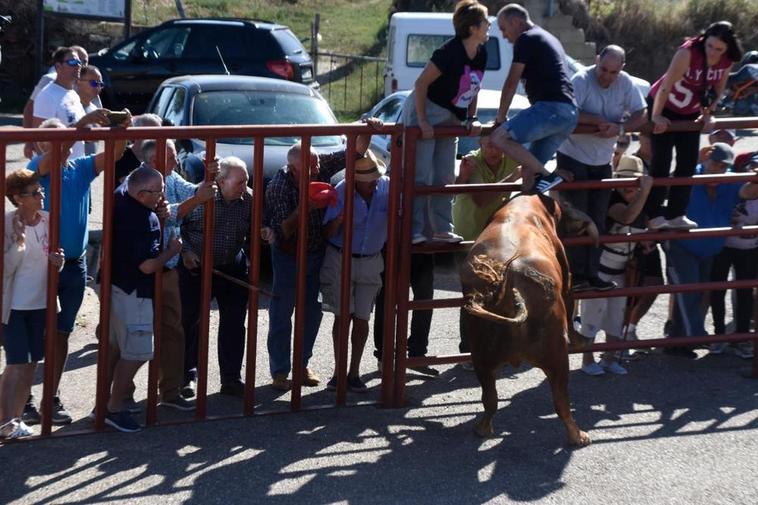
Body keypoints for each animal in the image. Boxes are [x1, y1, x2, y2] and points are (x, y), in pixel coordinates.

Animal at [464, 193, 600, 444]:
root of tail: (511, 285)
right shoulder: (566, 277)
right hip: (557, 356)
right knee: (560, 400)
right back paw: (578, 436)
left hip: (481, 356)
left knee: (490, 397)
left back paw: (482, 428)